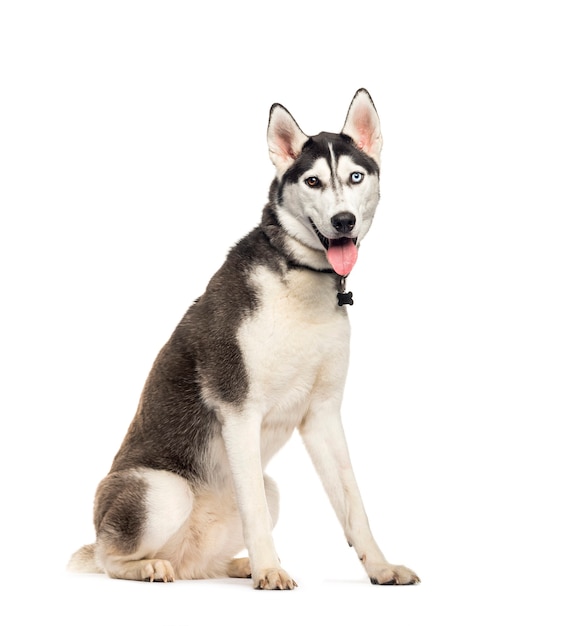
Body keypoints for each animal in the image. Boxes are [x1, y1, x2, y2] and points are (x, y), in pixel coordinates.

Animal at [70, 86, 420, 584]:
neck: (298, 278)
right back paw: (153, 565)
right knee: (108, 558)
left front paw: (381, 567)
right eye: (312, 182)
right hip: (162, 491)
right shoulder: (239, 411)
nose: (344, 221)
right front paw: (269, 572)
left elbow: (354, 505)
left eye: (355, 177)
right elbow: (251, 504)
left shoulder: (323, 415)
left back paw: (233, 565)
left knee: (209, 556)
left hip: (268, 493)